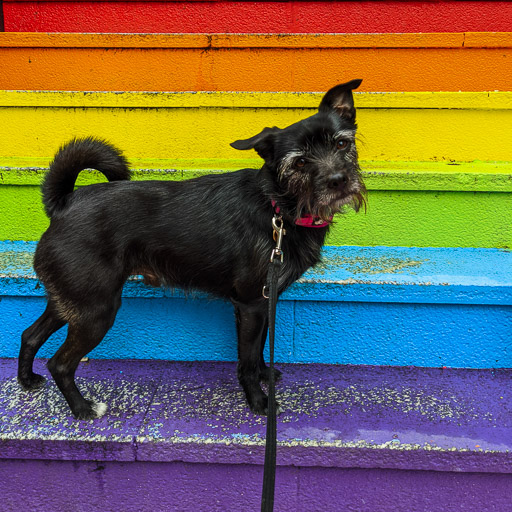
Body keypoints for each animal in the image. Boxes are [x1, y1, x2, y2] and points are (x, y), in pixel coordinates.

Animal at [18, 78, 366, 418]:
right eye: (300, 161)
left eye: (341, 144)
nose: (338, 180)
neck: (276, 206)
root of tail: (63, 205)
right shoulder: (251, 305)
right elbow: (247, 360)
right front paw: (258, 401)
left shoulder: (265, 300)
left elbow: (258, 350)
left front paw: (265, 375)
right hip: (96, 310)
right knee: (60, 363)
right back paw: (83, 409)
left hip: (71, 301)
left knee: (30, 335)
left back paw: (27, 380)